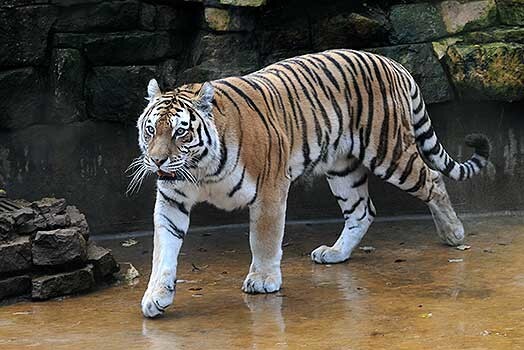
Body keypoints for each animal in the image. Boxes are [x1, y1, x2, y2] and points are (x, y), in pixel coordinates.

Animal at [132, 47, 492, 318]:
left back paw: (453, 233)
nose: (157, 161)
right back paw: (336, 252)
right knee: (362, 211)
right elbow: (163, 250)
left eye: (180, 131)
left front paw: (262, 280)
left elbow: (263, 239)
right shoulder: (172, 200)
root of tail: (392, 62)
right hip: (343, 169)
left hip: (390, 153)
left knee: (433, 180)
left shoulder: (270, 190)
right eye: (151, 130)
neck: (201, 170)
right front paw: (156, 296)